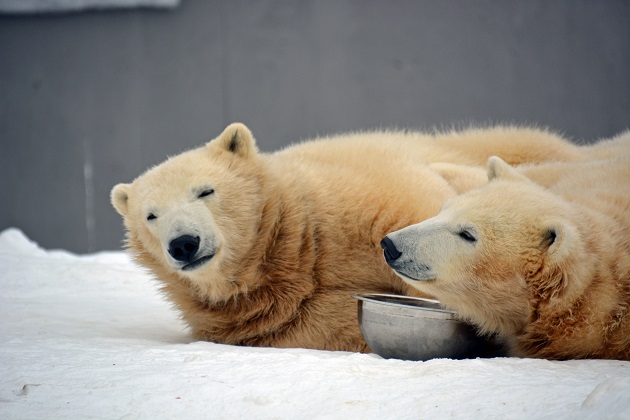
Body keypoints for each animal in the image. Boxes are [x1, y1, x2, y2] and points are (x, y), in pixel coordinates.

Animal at [110, 123, 588, 352]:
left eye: (205, 191)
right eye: (151, 215)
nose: (183, 243)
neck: (293, 243)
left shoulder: (354, 197)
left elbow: (419, 210)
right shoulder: (269, 317)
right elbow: (330, 321)